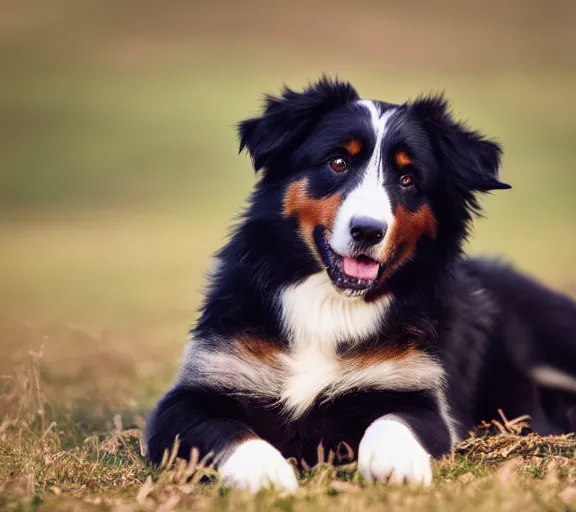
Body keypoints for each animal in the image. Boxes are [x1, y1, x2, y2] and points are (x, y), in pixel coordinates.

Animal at [146, 78, 576, 494]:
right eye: (338, 162)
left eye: (407, 179)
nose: (368, 230)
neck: (329, 302)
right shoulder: (194, 392)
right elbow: (227, 431)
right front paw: (264, 474)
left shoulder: (418, 391)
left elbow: (393, 422)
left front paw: (396, 465)